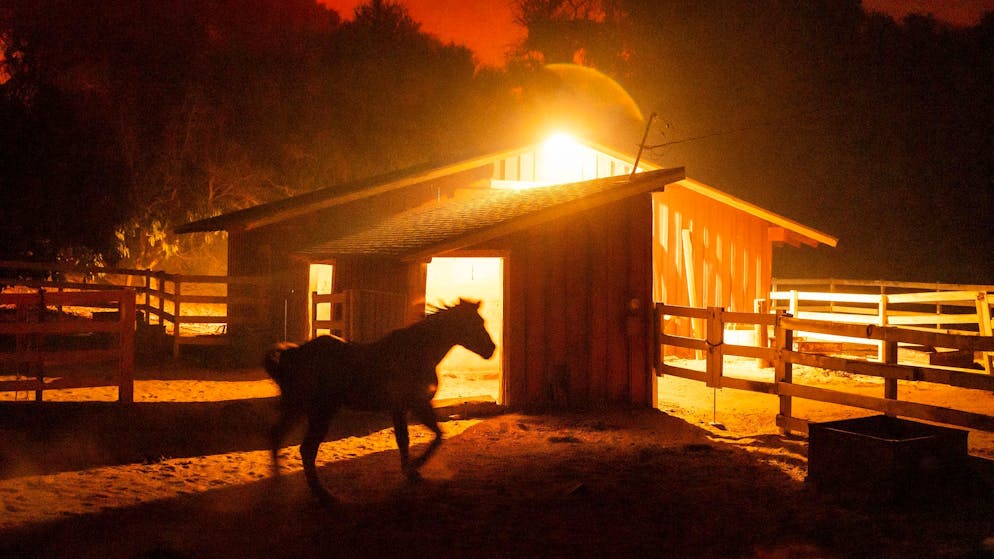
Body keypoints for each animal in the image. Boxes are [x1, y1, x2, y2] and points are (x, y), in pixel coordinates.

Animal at [264, 300, 496, 506]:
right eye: (474, 322)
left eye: (482, 320)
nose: (491, 349)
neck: (416, 352)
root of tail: (294, 353)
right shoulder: (412, 405)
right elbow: (419, 438)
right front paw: (414, 467)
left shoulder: (410, 407)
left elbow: (428, 436)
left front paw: (413, 471)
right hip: (320, 413)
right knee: (306, 450)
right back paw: (324, 495)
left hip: (296, 408)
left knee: (277, 435)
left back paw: (279, 482)